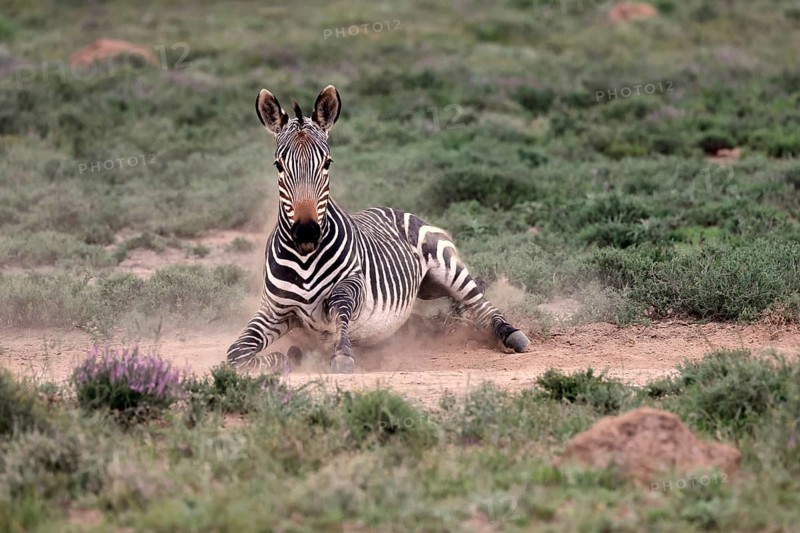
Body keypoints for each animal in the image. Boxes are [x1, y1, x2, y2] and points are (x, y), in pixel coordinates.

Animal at [227, 85, 530, 373]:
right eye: (279, 166)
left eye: (327, 163)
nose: (307, 233)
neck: (304, 259)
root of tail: (393, 208)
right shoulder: (274, 311)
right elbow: (236, 353)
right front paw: (284, 358)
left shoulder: (354, 285)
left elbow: (339, 307)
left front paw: (341, 353)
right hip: (428, 289)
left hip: (446, 266)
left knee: (478, 301)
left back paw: (511, 334)